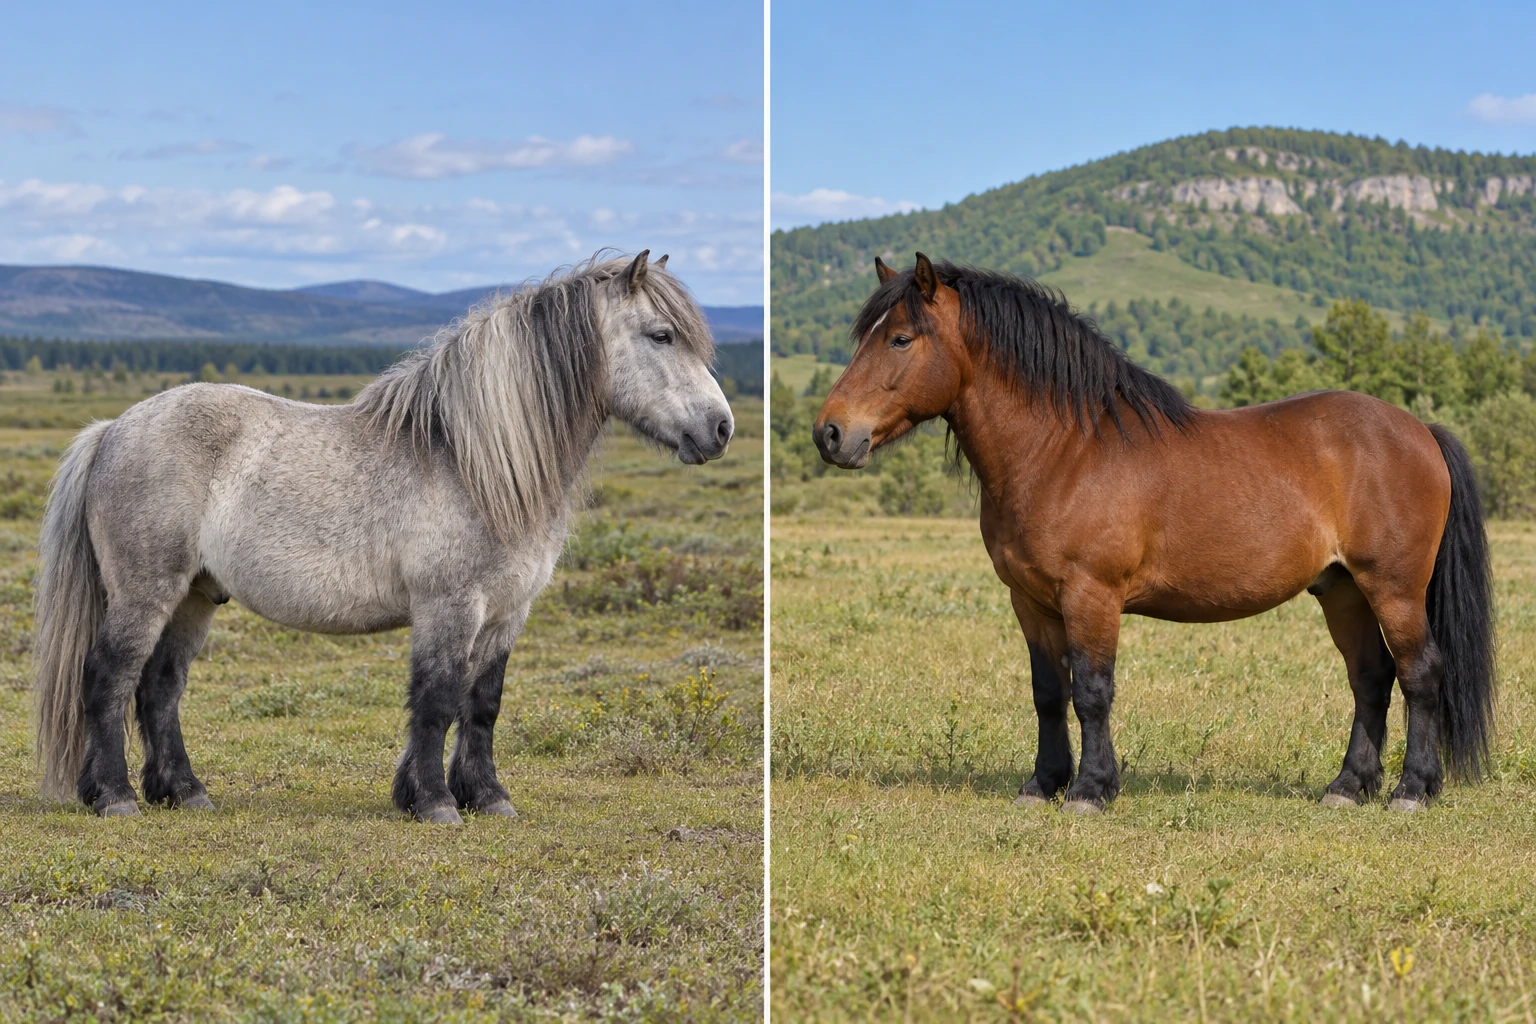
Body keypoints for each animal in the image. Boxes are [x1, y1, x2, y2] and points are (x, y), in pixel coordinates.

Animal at [34, 250, 734, 823]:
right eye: (662, 335)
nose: (721, 428)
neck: (472, 462)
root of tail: (113, 428)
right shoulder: (449, 606)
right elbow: (436, 699)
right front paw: (434, 803)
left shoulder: (508, 612)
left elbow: (482, 704)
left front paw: (487, 798)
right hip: (146, 589)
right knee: (109, 677)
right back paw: (115, 797)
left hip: (195, 596)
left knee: (159, 687)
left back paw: (183, 792)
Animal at [812, 252, 1495, 814]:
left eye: (900, 338)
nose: (831, 433)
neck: (1065, 450)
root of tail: (1419, 430)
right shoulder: (1030, 601)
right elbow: (1047, 692)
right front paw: (1042, 784)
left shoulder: (1091, 595)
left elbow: (1091, 690)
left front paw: (1091, 791)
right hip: (1342, 590)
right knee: (1371, 678)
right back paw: (1348, 788)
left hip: (1393, 587)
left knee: (1420, 673)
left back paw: (1412, 790)